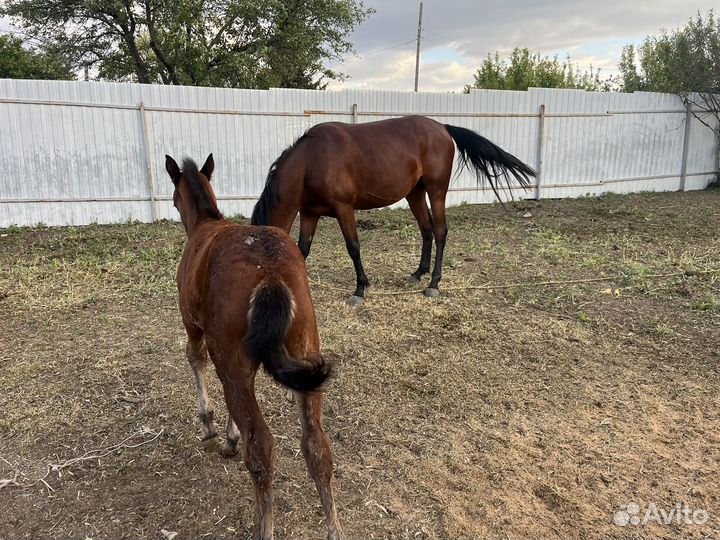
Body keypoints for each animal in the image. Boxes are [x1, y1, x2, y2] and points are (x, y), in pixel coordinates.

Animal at [165, 154, 342, 540]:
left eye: (172, 199)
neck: (206, 223)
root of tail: (270, 275)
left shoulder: (195, 327)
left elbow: (195, 359)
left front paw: (212, 428)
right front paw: (228, 435)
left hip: (233, 359)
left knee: (261, 447)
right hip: (307, 355)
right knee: (317, 447)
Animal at [251, 115, 536, 304]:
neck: (312, 161)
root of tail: (443, 128)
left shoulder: (344, 208)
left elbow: (353, 247)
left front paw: (360, 289)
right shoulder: (310, 213)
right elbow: (302, 250)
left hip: (436, 191)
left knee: (440, 231)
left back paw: (433, 283)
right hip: (415, 194)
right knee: (426, 229)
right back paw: (419, 273)